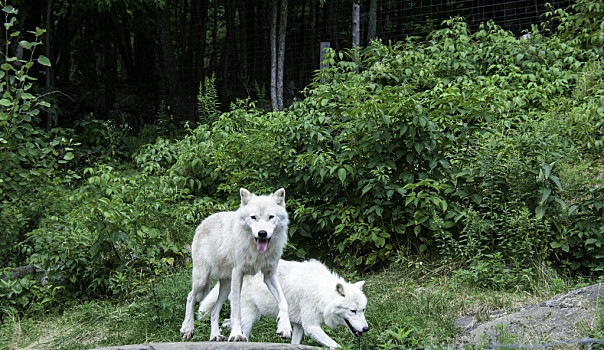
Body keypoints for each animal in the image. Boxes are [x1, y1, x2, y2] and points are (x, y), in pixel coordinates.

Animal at [179, 189, 292, 342]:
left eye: (271, 217)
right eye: (253, 217)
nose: (262, 233)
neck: (256, 251)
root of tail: (204, 221)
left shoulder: (269, 274)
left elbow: (284, 301)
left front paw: (284, 328)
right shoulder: (238, 273)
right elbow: (236, 309)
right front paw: (237, 334)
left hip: (226, 286)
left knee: (214, 311)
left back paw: (215, 335)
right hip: (202, 279)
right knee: (190, 296)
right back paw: (187, 329)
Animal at [198, 258, 368, 348]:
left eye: (363, 310)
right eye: (353, 311)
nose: (366, 329)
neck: (321, 294)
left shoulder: (299, 326)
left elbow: (294, 344)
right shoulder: (311, 326)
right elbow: (336, 345)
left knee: (227, 322)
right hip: (249, 318)